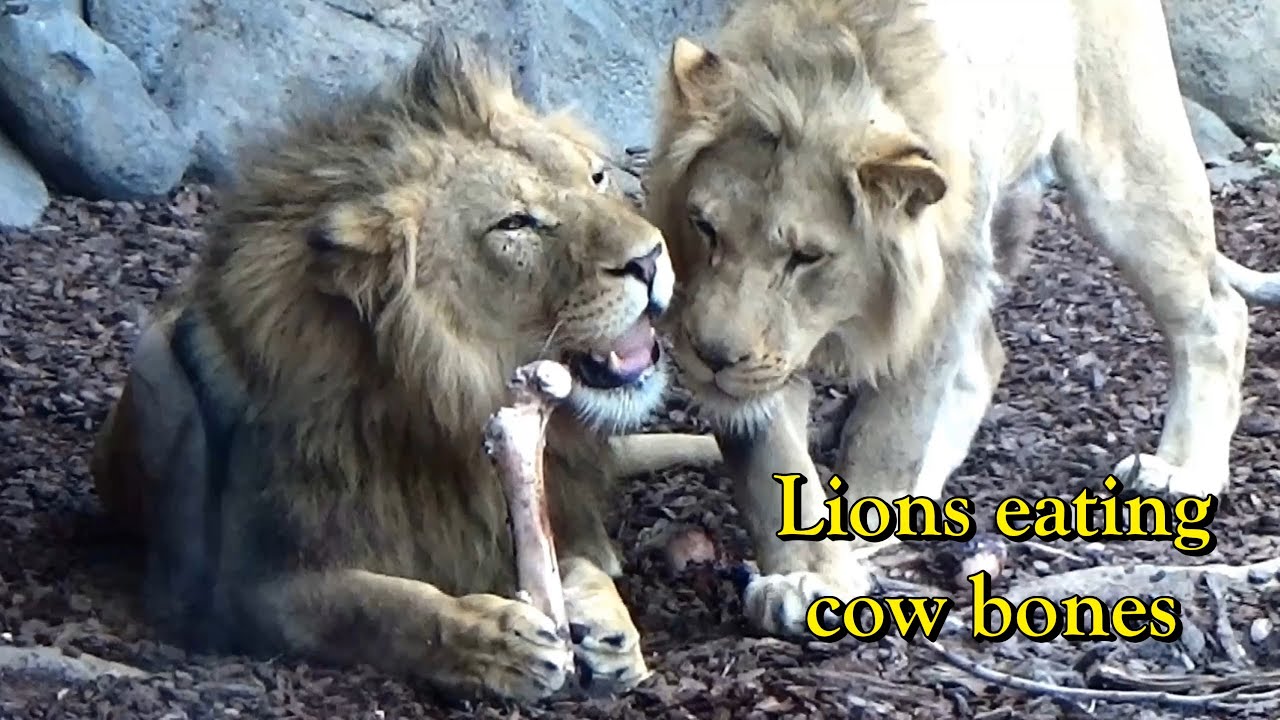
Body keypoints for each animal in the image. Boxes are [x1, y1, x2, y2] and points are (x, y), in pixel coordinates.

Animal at [88, 36, 722, 702]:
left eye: (596, 177)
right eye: (515, 224)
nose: (652, 257)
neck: (442, 404)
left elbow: (583, 564)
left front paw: (608, 626)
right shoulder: (247, 585)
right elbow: (376, 605)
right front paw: (493, 640)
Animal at [644, 0, 1280, 637]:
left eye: (806, 257)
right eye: (704, 227)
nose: (710, 356)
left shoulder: (937, 294)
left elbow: (886, 436)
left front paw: (854, 543)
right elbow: (771, 460)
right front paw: (805, 574)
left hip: (1126, 172)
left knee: (1218, 314)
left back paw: (1183, 472)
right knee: (985, 358)